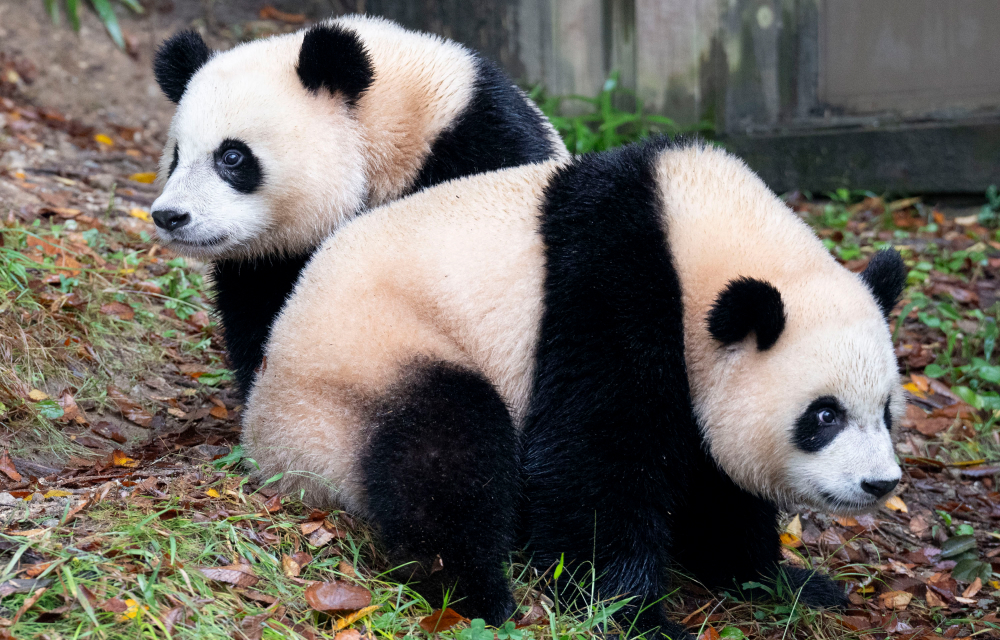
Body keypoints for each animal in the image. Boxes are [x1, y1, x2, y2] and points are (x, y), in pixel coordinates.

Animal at [242, 138, 908, 636]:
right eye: (824, 416)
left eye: (886, 411)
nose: (879, 484)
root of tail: (263, 438)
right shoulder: (609, 286)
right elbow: (595, 456)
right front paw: (634, 614)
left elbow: (712, 477)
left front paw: (781, 580)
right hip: (364, 363)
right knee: (445, 449)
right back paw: (478, 591)